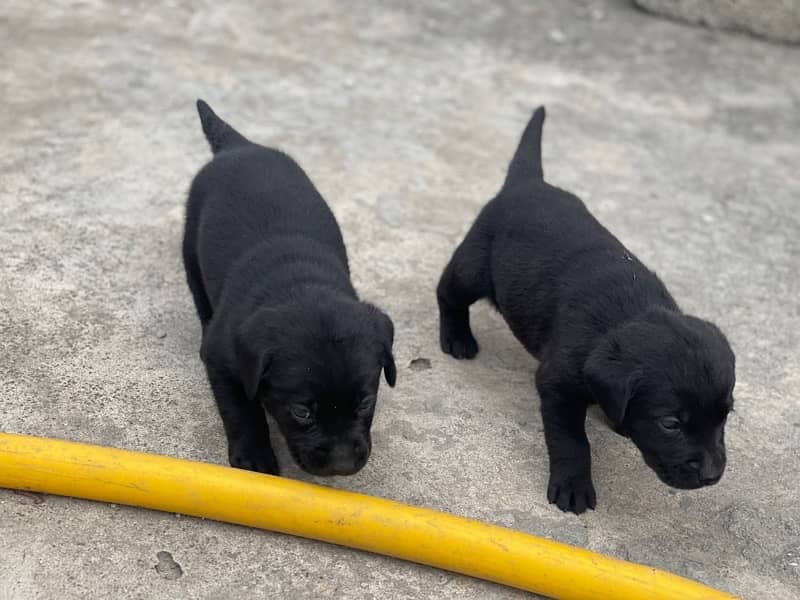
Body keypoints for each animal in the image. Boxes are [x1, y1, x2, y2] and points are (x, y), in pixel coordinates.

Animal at [180, 102, 394, 478]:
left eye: (366, 402)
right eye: (301, 412)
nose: (342, 465)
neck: (300, 286)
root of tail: (239, 146)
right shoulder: (221, 360)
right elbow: (241, 409)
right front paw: (254, 457)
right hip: (190, 246)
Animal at [438, 106, 736, 510]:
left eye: (725, 416)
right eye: (670, 424)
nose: (711, 475)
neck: (625, 316)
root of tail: (528, 183)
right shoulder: (557, 384)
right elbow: (572, 442)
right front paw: (573, 485)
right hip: (473, 267)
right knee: (448, 290)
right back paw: (456, 337)